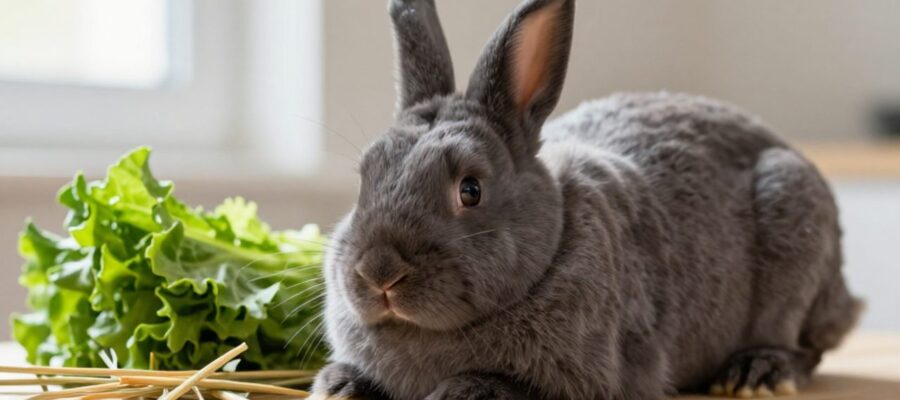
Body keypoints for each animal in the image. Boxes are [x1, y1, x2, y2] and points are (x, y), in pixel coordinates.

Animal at [310, 0, 863, 399]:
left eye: (470, 189)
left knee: (803, 345)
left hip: (794, 229)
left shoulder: (583, 378)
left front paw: (455, 391)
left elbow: (492, 385)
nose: (378, 273)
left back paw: (756, 374)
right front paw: (337, 386)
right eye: (365, 178)